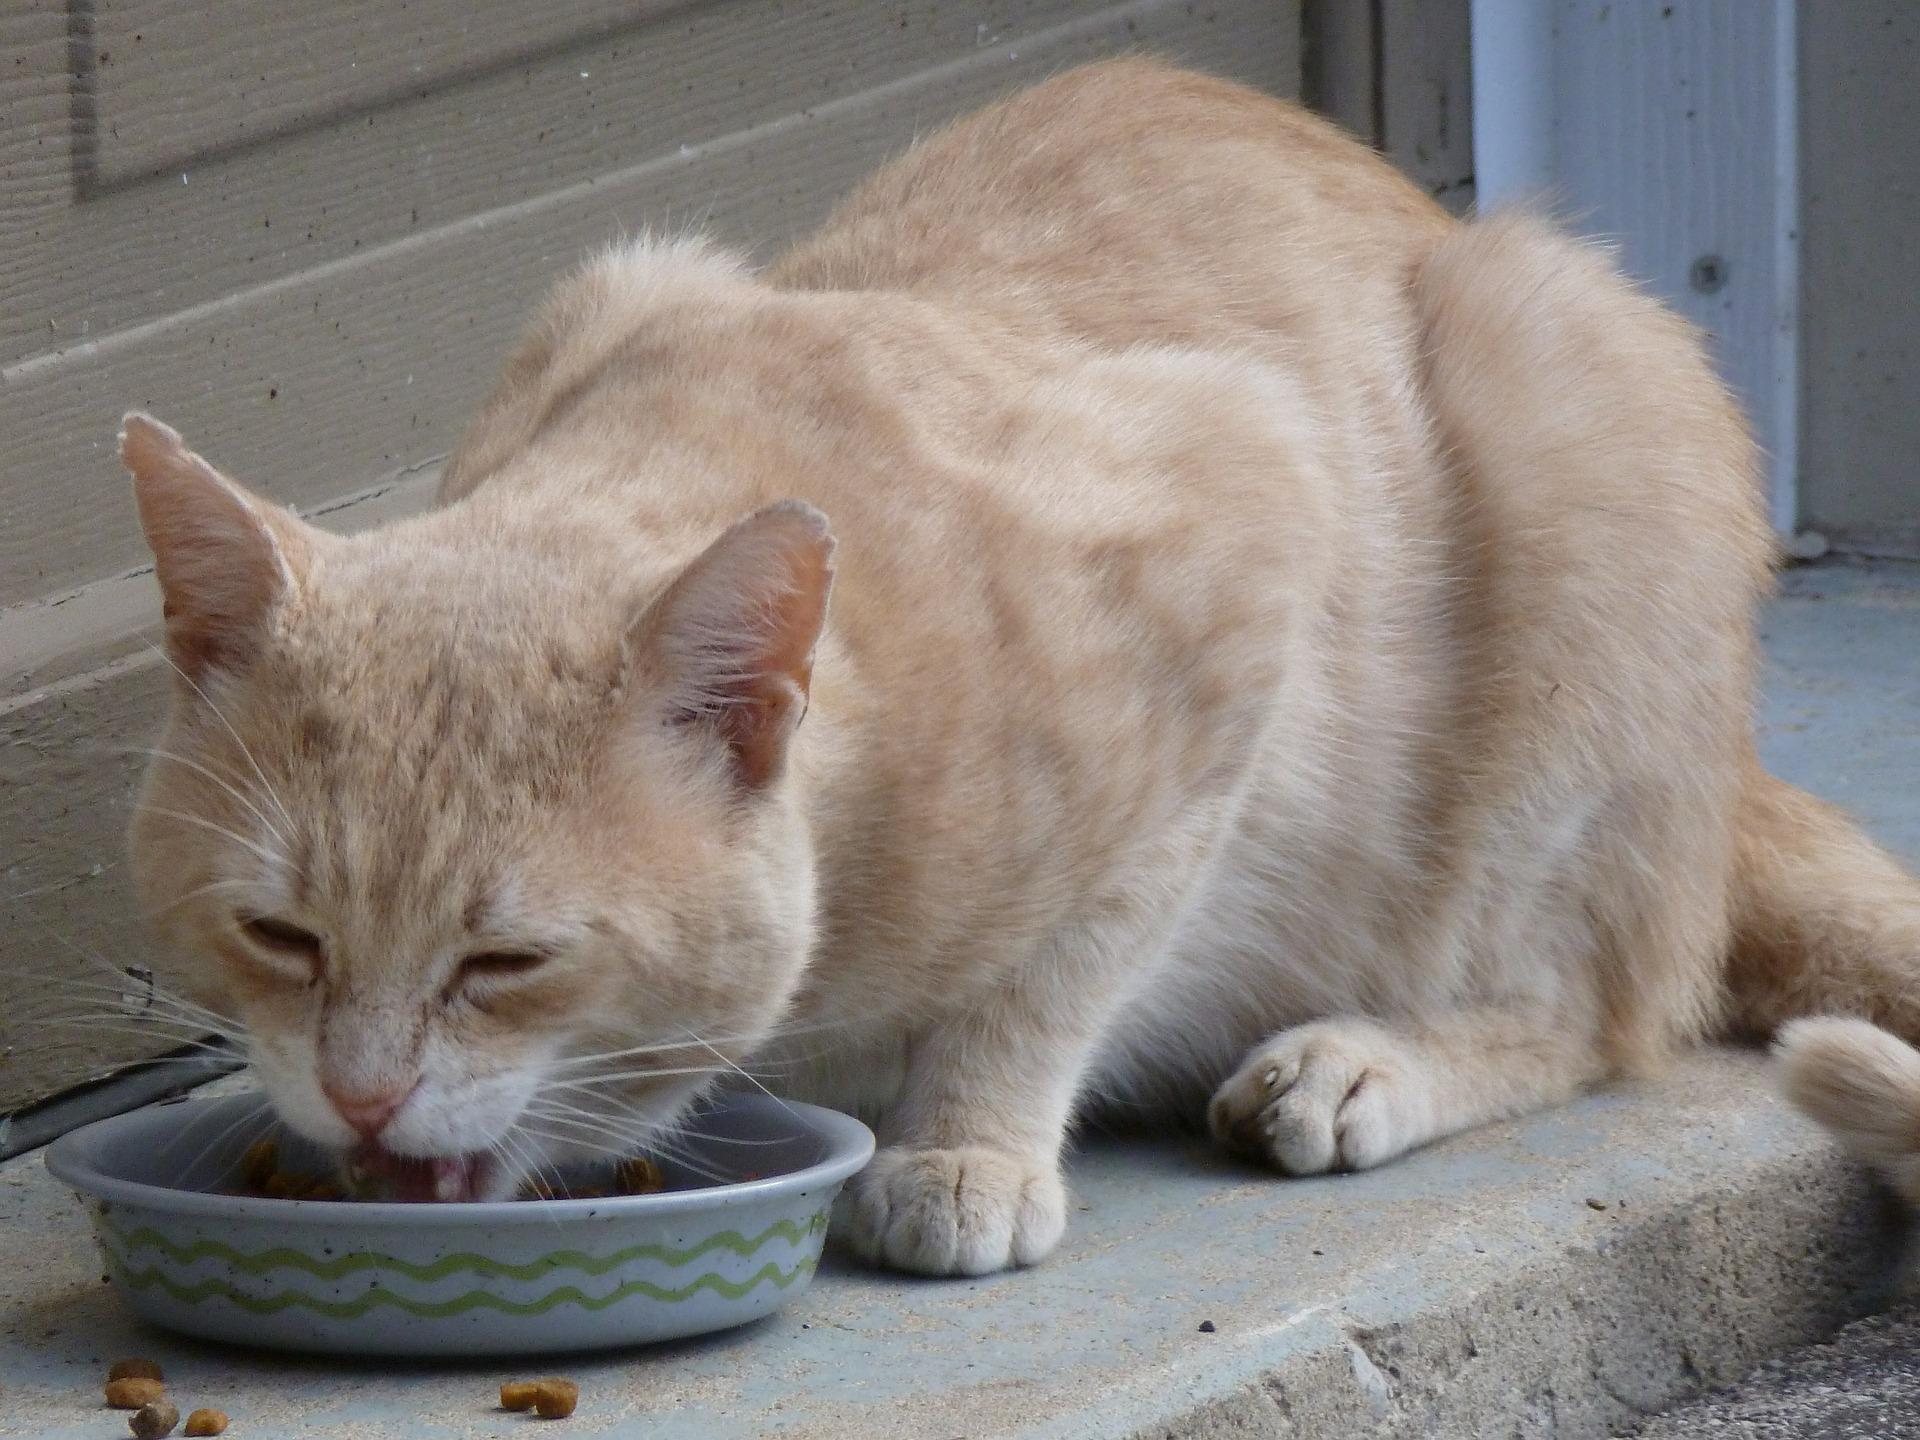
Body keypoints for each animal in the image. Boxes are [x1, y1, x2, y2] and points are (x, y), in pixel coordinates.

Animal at [116, 59, 1920, 1274]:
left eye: (507, 963)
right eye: (280, 938)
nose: (358, 1103)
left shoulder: (1244, 551)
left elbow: (1054, 974)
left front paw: (963, 1150)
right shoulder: (618, 276)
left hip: (1567, 425)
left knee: (1598, 1005)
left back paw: (1366, 1059)